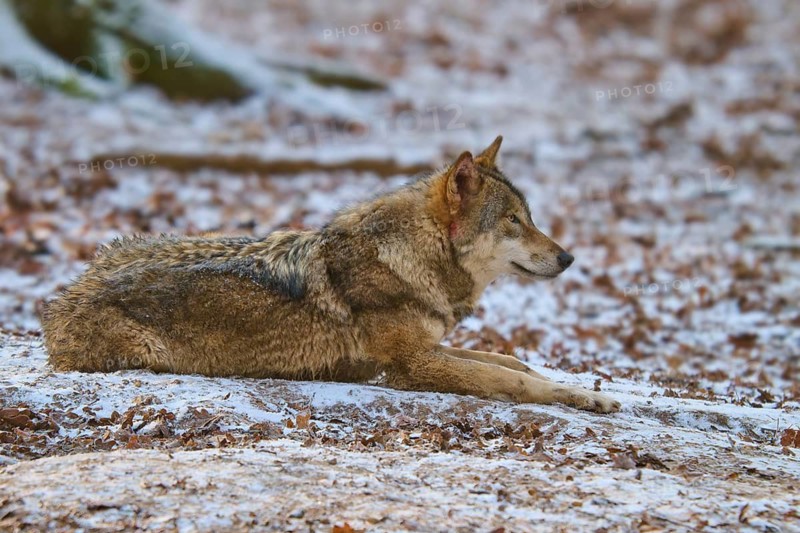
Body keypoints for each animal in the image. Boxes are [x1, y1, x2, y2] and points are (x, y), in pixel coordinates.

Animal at [43, 136, 620, 413]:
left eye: (531, 217)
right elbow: (508, 379)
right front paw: (588, 398)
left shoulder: (431, 346)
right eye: (514, 221)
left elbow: (510, 361)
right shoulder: (410, 366)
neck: (414, 256)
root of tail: (62, 297)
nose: (569, 259)